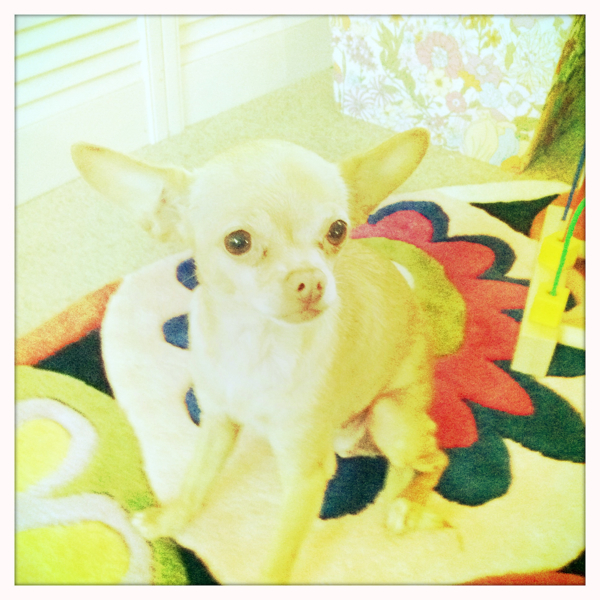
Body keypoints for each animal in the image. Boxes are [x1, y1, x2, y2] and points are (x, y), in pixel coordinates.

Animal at [71, 128, 448, 584]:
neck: (254, 343)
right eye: (238, 242)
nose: (312, 280)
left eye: (338, 230)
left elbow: (282, 553)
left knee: (436, 455)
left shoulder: (305, 476)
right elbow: (196, 480)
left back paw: (409, 503)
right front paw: (170, 520)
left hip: (389, 417)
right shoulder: (216, 422)